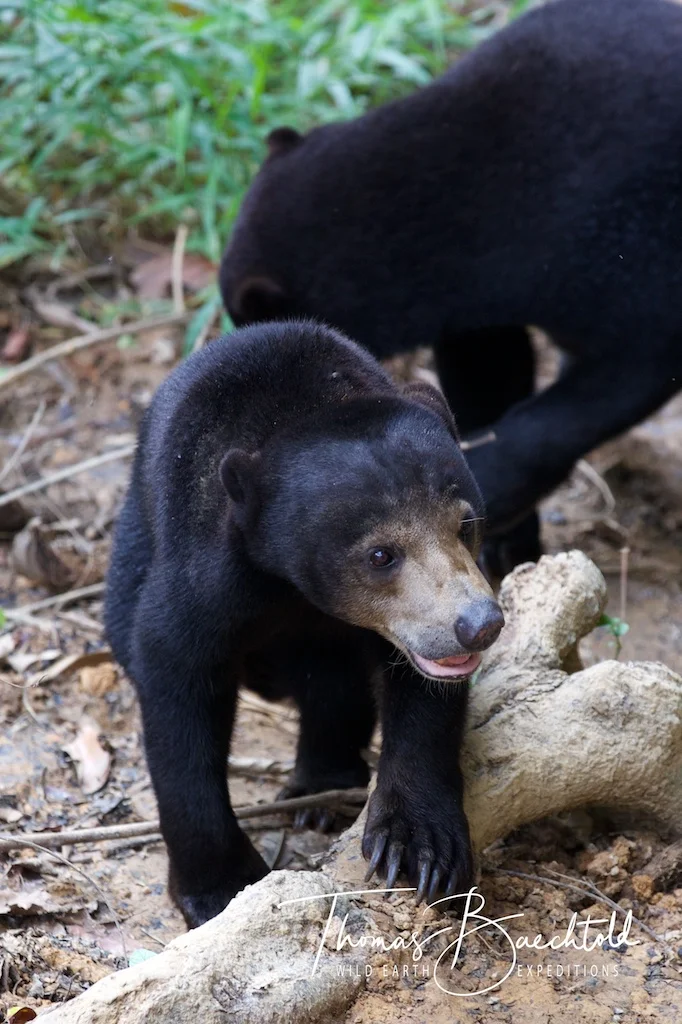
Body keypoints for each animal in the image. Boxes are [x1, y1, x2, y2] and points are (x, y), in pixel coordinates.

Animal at [104, 319, 504, 929]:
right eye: (381, 554)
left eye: (465, 524)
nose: (479, 624)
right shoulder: (204, 571)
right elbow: (176, 682)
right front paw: (219, 888)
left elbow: (424, 702)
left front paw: (420, 846)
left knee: (332, 686)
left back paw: (323, 790)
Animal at [219, 0, 682, 578]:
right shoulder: (480, 310)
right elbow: (485, 375)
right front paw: (505, 542)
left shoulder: (632, 254)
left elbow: (611, 380)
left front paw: (489, 489)